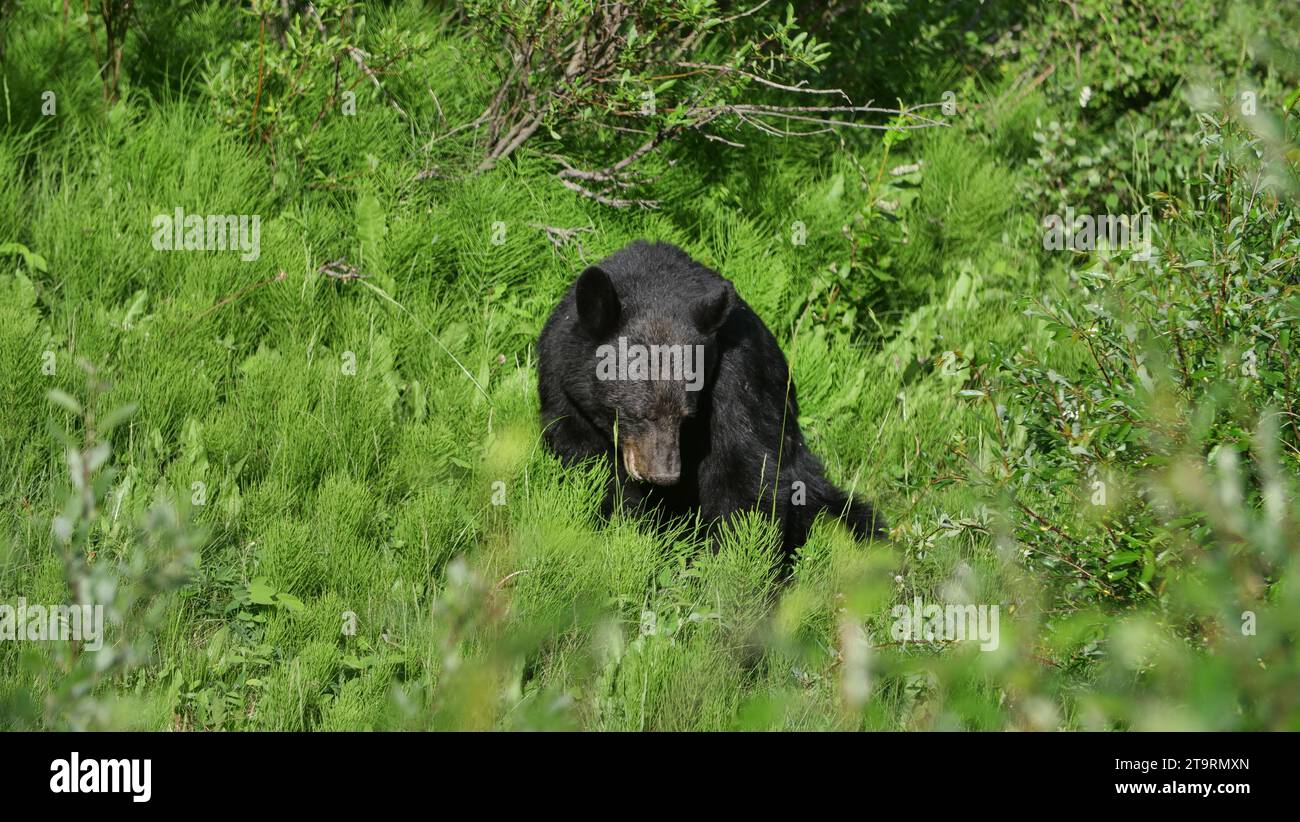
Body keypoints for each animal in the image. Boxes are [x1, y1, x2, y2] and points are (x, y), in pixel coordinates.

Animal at [538, 240, 883, 556]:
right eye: (637, 413)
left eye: (686, 416)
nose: (666, 475)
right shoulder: (563, 384)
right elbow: (589, 461)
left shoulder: (735, 372)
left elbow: (742, 467)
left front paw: (732, 558)